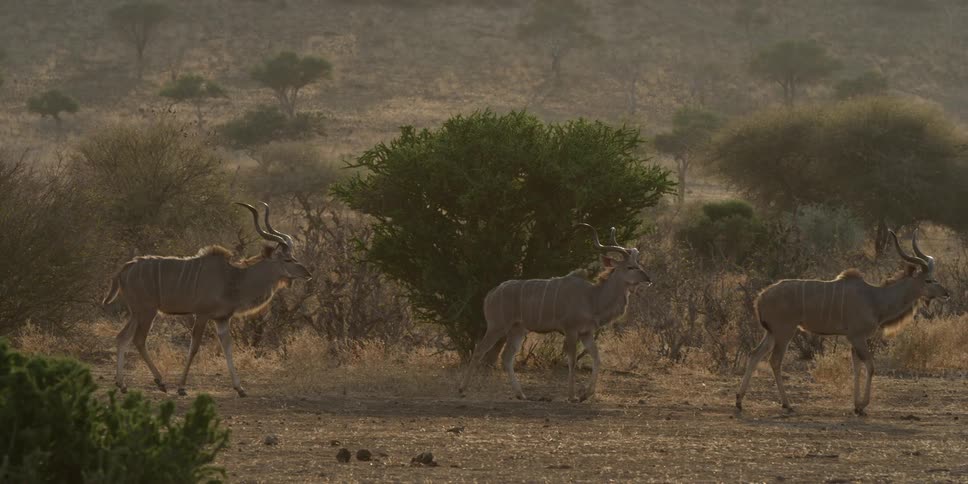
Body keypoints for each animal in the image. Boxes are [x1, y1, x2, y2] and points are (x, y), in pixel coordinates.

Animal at [102, 202, 311, 397]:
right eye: (287, 260)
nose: (307, 273)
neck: (233, 278)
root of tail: (125, 268)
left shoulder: (222, 319)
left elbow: (227, 347)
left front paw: (240, 388)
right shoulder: (202, 315)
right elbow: (194, 348)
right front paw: (181, 388)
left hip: (137, 312)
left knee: (122, 337)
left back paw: (122, 384)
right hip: (147, 311)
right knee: (138, 340)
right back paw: (160, 382)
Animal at [459, 223, 652, 402]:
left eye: (637, 264)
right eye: (630, 267)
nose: (648, 278)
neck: (592, 297)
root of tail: (490, 294)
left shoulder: (586, 333)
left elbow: (597, 358)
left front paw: (585, 395)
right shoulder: (571, 330)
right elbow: (572, 360)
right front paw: (572, 396)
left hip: (518, 329)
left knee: (506, 357)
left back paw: (521, 394)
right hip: (497, 326)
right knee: (479, 351)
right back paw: (463, 390)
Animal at [736, 229, 950, 415]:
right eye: (928, 280)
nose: (946, 293)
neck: (875, 298)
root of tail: (760, 297)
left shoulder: (854, 339)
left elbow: (857, 367)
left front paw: (856, 405)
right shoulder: (857, 337)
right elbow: (870, 366)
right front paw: (862, 405)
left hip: (772, 333)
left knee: (755, 354)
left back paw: (739, 401)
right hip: (784, 332)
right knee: (775, 360)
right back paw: (787, 404)